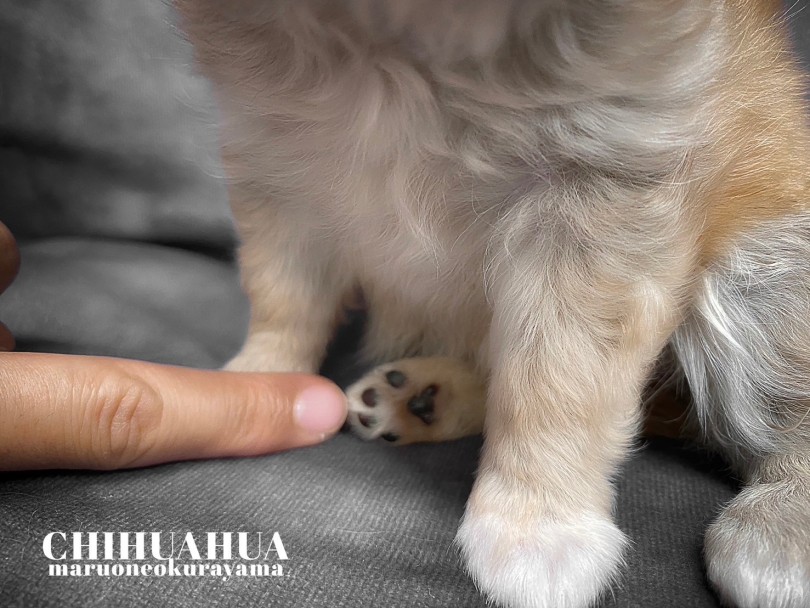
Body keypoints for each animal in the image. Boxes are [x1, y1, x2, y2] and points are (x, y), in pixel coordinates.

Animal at [175, 2, 808, 604]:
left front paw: (537, 525)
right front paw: (266, 381)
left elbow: (554, 377)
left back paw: (781, 526)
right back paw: (424, 399)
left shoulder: (601, 188)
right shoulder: (278, 167)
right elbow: (283, 297)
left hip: (760, 278)